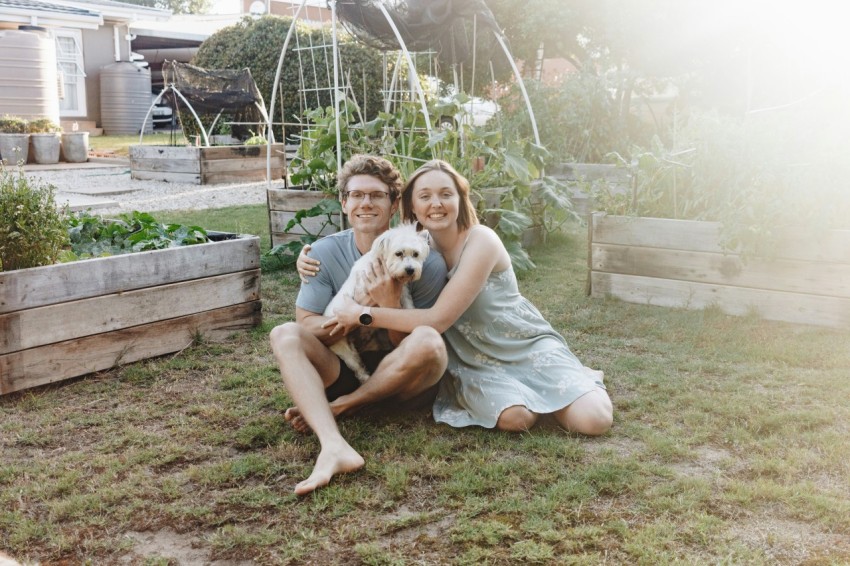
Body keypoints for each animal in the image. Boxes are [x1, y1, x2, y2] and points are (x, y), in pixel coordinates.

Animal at [324, 224, 430, 384]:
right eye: (398, 253)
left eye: (416, 254)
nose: (410, 270)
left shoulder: (402, 292)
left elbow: (407, 304)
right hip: (344, 349)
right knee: (357, 367)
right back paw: (366, 378)